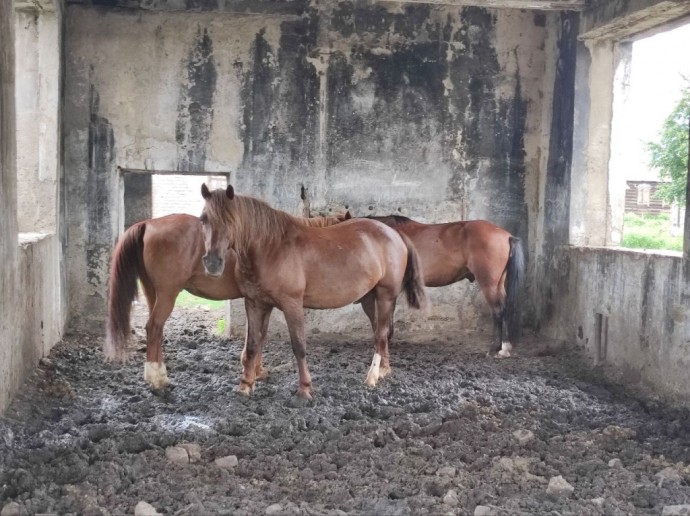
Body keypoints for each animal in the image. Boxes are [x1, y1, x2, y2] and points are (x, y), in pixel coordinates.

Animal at [103, 209, 350, 388]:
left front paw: (254, 370)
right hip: (168, 293)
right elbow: (259, 335)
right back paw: (157, 379)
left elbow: (258, 335)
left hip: (154, 293)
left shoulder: (261, 302)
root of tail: (148, 224)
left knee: (157, 329)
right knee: (154, 327)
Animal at [199, 185, 424, 400]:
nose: (212, 263)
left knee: (381, 334)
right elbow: (253, 344)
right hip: (369, 299)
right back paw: (384, 370)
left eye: (230, 220)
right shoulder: (255, 303)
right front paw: (245, 386)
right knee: (381, 331)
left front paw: (304, 390)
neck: (271, 247)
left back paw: (372, 377)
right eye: (203, 219)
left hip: (386, 296)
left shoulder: (292, 305)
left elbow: (299, 346)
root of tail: (394, 234)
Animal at [366, 216, 520, 356]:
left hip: (489, 284)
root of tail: (506, 235)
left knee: (497, 310)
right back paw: (505, 348)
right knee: (505, 308)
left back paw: (494, 348)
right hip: (499, 284)